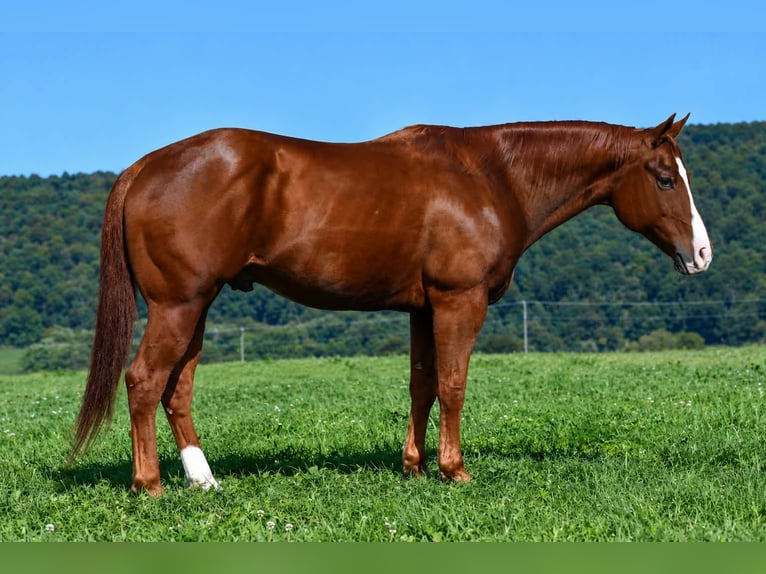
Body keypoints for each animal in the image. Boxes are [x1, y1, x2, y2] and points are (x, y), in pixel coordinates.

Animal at [71, 113, 712, 495]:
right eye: (663, 177)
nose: (702, 254)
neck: (489, 176)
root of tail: (142, 168)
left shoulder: (423, 310)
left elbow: (422, 384)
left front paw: (414, 467)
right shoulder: (459, 302)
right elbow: (453, 384)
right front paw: (455, 471)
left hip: (196, 307)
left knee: (176, 388)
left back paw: (202, 481)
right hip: (178, 306)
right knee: (144, 380)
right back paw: (150, 485)